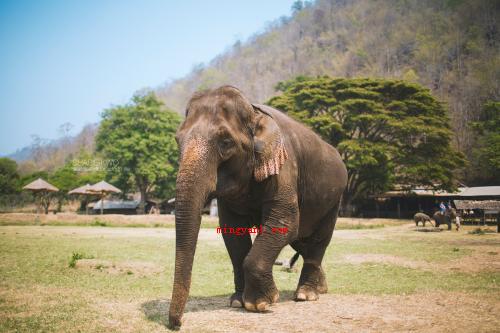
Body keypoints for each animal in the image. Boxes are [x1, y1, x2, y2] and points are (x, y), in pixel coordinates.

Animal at [168, 85, 348, 326]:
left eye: (226, 142)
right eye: (178, 141)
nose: (176, 324)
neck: (254, 112)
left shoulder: (284, 165)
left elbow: (285, 221)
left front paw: (260, 304)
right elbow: (232, 232)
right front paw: (237, 301)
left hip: (334, 200)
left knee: (318, 241)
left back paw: (306, 295)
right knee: (301, 242)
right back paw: (322, 288)